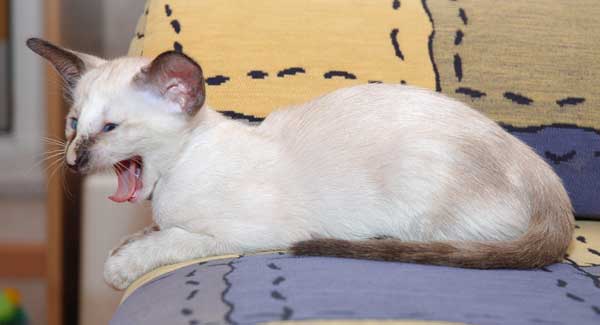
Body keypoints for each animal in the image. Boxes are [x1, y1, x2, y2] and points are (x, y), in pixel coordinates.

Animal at [27, 38, 572, 288]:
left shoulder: (233, 235)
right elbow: (147, 234)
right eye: (74, 124)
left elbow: (169, 240)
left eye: (110, 128)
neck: (170, 181)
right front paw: (126, 246)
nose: (75, 158)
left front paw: (121, 267)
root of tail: (543, 173)